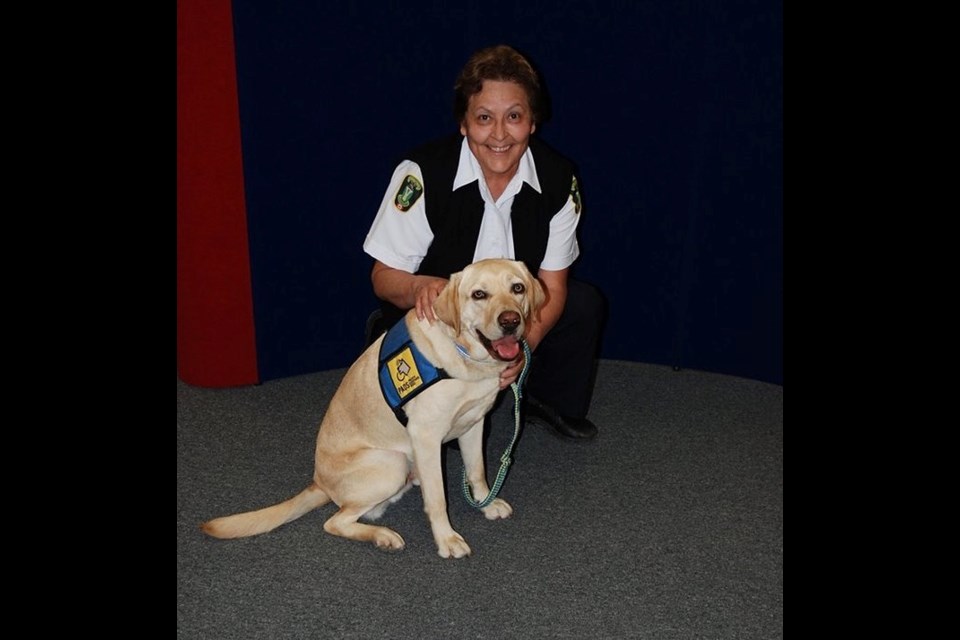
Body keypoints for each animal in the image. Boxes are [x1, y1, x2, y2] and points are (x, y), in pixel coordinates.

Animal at [202, 258, 544, 556]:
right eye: (478, 295)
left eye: (517, 288)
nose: (510, 321)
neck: (465, 357)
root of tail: (318, 482)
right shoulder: (426, 436)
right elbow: (437, 498)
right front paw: (446, 539)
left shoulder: (474, 424)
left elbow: (477, 471)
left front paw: (486, 502)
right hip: (391, 462)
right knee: (335, 521)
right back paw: (383, 536)